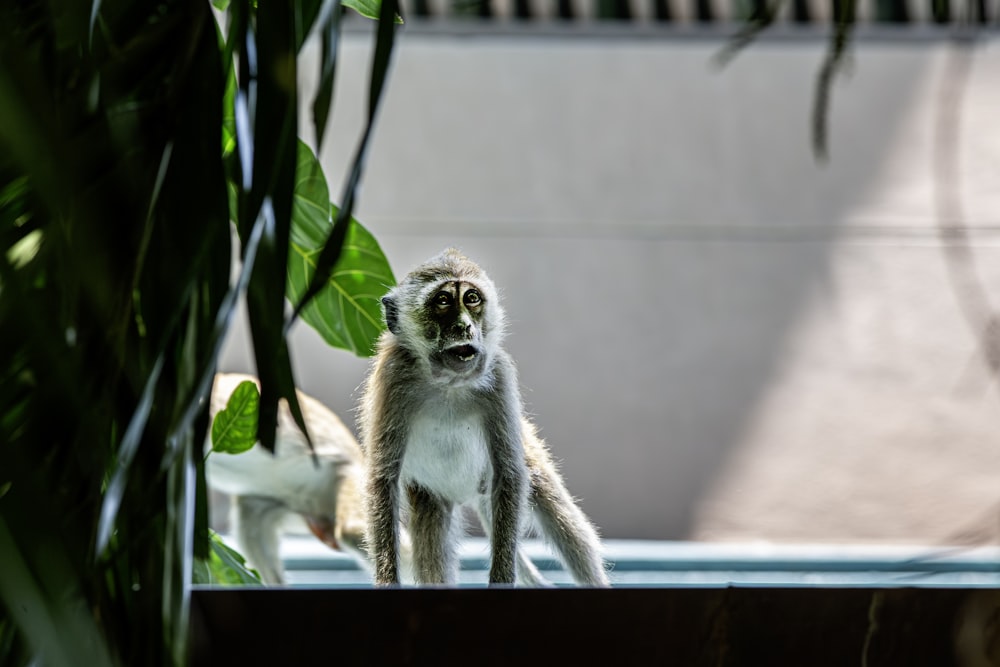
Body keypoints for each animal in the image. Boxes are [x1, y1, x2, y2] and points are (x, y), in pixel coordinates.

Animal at [360, 248, 608, 588]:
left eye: (472, 298)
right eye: (443, 301)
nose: (465, 326)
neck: (448, 382)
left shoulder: (500, 376)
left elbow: (509, 474)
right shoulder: (392, 375)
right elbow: (383, 479)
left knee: (559, 516)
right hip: (432, 494)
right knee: (432, 544)